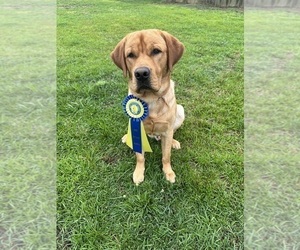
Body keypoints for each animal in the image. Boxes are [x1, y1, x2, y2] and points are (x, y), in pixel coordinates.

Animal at [110, 29, 184, 186]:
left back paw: (174, 142)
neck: (150, 98)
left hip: (180, 111)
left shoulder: (167, 129)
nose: (141, 73)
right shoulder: (136, 127)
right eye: (130, 55)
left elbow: (166, 156)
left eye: (156, 51)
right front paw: (139, 172)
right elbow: (140, 156)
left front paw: (168, 172)